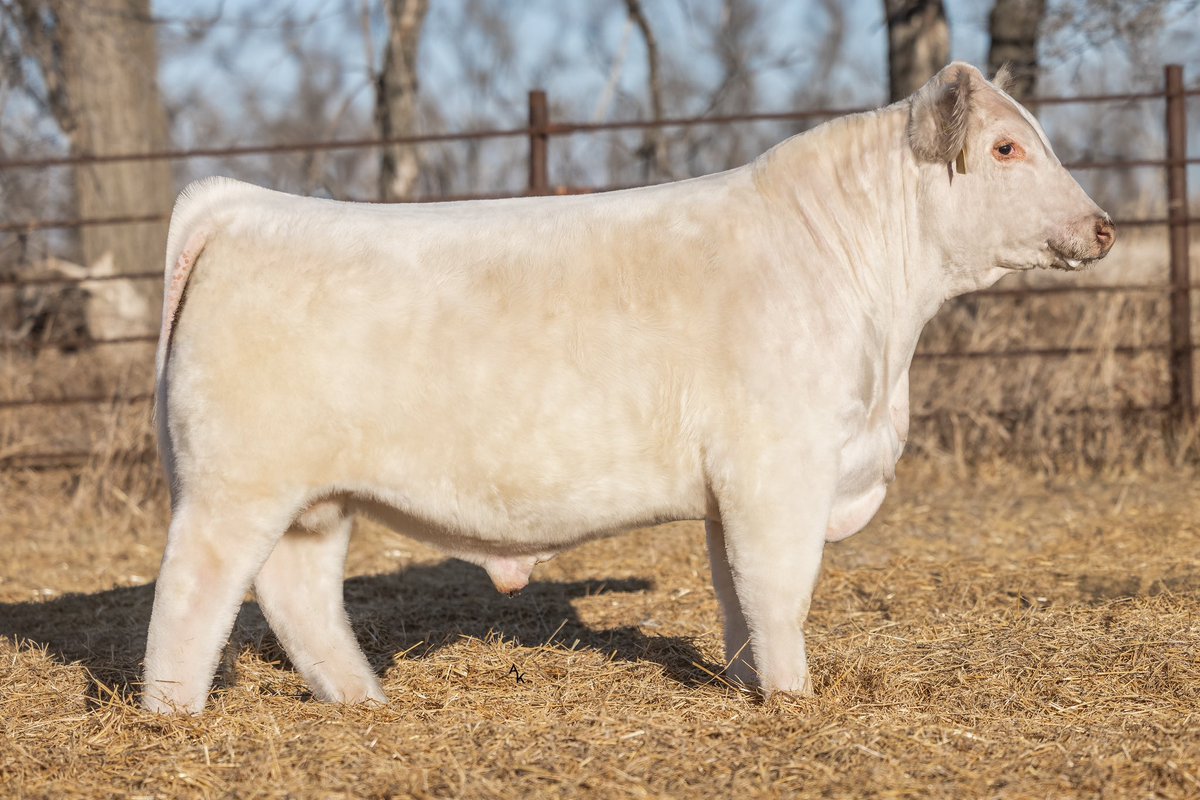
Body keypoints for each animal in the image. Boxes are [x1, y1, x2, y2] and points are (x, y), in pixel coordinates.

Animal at [142, 62, 1115, 713]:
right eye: (1005, 147)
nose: (1102, 226)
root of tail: (245, 205)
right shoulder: (779, 468)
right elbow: (780, 590)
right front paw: (793, 700)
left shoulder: (735, 487)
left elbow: (736, 593)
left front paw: (749, 684)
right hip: (234, 486)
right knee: (193, 592)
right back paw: (174, 717)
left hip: (314, 499)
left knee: (298, 593)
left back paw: (362, 701)